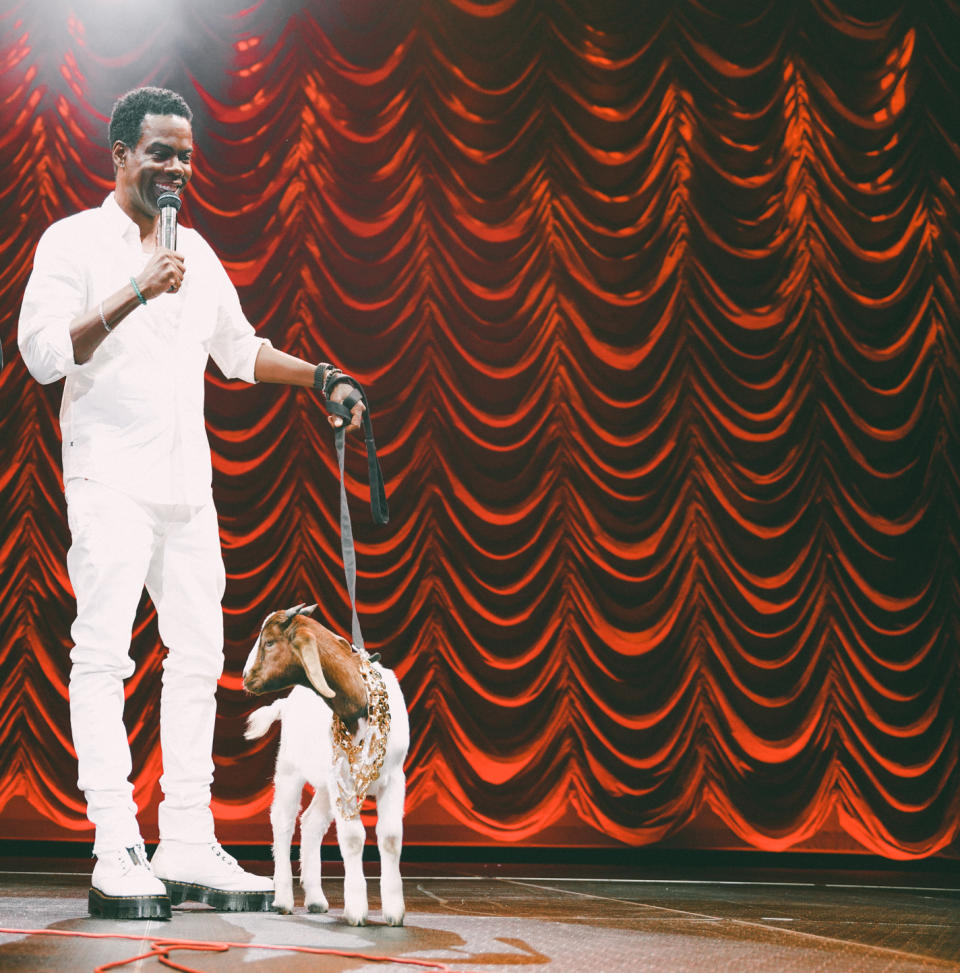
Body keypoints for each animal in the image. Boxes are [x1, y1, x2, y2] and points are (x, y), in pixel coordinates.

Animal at [242, 600, 406, 928]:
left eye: (269, 642)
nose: (244, 676)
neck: (360, 704)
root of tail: (286, 704)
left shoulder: (394, 777)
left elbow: (391, 837)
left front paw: (394, 911)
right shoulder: (343, 779)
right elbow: (354, 838)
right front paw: (356, 909)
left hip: (325, 784)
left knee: (311, 823)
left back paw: (316, 899)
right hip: (289, 769)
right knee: (283, 821)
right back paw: (283, 899)